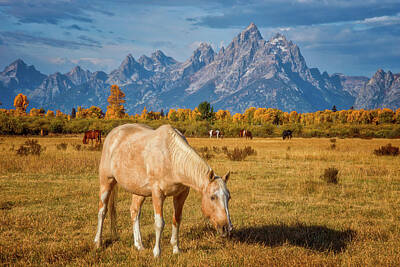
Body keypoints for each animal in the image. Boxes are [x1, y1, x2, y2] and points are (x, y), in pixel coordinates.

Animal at [94, 124, 233, 258]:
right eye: (212, 197)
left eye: (229, 197)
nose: (227, 228)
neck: (171, 158)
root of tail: (113, 133)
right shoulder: (158, 194)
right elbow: (159, 223)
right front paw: (157, 253)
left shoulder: (181, 195)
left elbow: (176, 219)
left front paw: (176, 249)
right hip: (106, 182)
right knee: (102, 211)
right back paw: (98, 242)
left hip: (138, 191)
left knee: (134, 212)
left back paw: (139, 245)